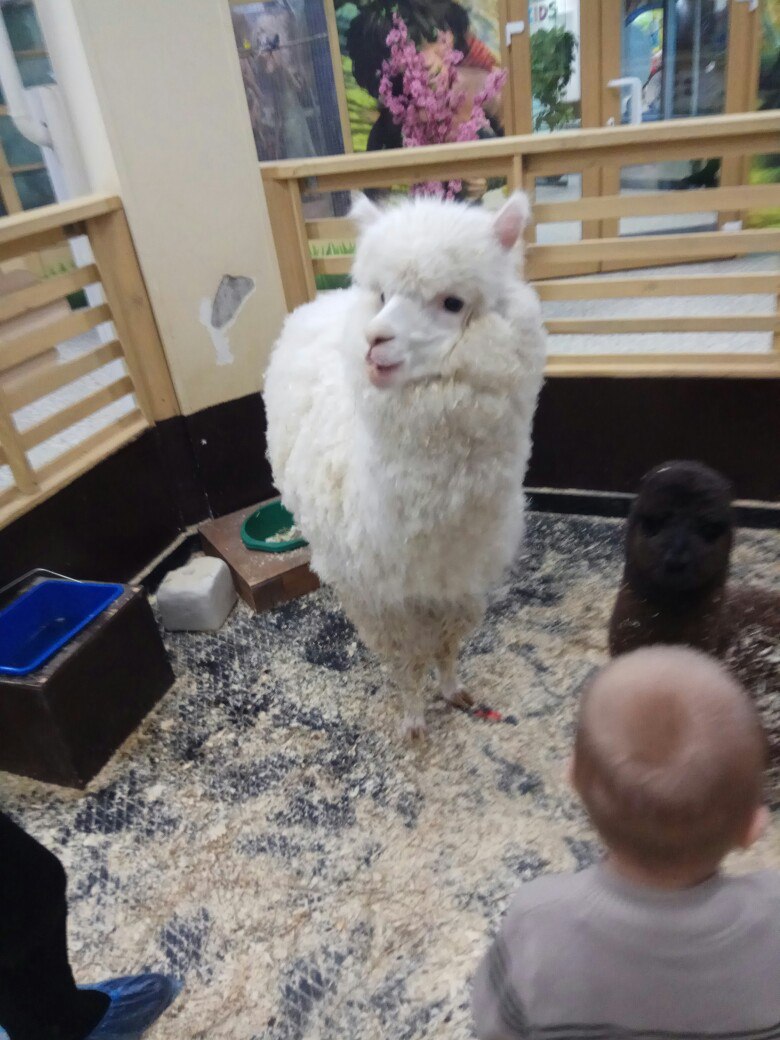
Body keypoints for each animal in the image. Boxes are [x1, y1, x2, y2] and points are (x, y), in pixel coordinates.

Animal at [264, 191, 546, 740]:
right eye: (383, 295)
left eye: (452, 302)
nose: (375, 339)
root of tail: (318, 301)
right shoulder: (381, 597)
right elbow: (406, 661)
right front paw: (414, 720)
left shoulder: (458, 581)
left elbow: (448, 644)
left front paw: (454, 691)